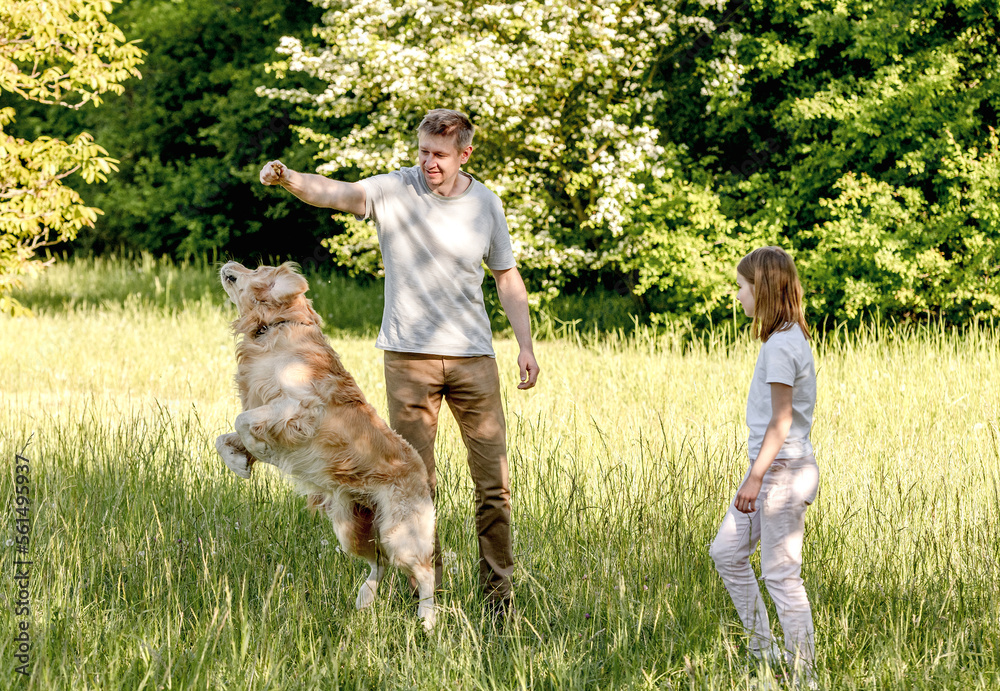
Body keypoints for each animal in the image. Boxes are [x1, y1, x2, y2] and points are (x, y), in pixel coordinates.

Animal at [217, 262, 436, 628]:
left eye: (255, 268)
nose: (228, 265)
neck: (274, 327)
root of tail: (422, 472)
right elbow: (225, 436)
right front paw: (239, 462)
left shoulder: (301, 407)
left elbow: (242, 421)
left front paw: (257, 451)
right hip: (351, 527)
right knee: (379, 562)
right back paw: (365, 598)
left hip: (400, 533)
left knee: (424, 571)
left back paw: (428, 620)